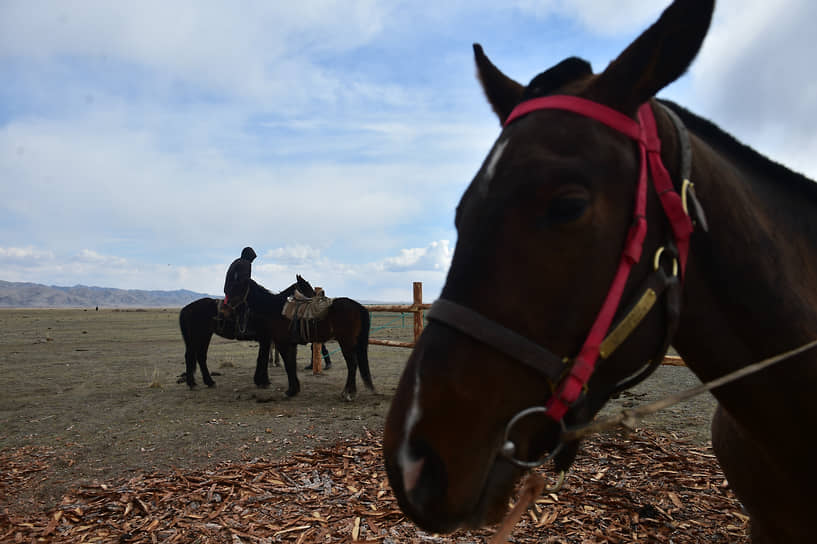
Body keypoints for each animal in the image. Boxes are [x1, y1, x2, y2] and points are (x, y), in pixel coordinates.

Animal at [178, 278, 310, 388]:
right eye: (307, 290)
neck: (270, 307)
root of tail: (186, 309)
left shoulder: (265, 340)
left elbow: (262, 358)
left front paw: (261, 380)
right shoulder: (265, 339)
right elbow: (262, 358)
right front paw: (263, 381)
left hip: (203, 336)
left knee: (197, 356)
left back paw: (202, 382)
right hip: (201, 335)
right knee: (195, 356)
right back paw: (199, 382)